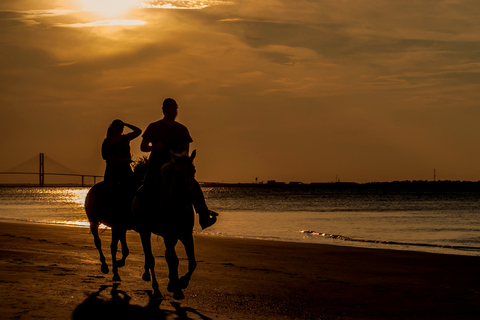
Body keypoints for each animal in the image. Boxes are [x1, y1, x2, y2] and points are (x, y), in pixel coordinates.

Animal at [132, 151, 198, 300]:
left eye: (193, 170)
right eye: (177, 172)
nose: (189, 194)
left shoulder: (186, 235)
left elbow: (192, 262)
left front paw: (181, 282)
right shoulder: (168, 235)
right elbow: (173, 260)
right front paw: (178, 288)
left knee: (166, 256)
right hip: (145, 231)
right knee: (150, 257)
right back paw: (155, 287)